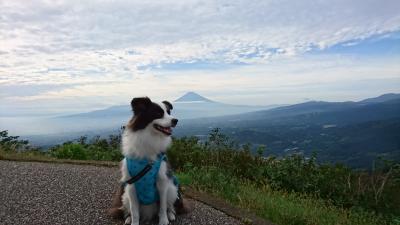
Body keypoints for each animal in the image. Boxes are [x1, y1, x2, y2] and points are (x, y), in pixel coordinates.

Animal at [107, 97, 187, 225]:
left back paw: (171, 215)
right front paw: (134, 222)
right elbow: (134, 211)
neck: (149, 138)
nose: (175, 120)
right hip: (125, 196)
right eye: (158, 113)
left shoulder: (162, 182)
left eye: (168, 112)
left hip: (172, 189)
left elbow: (163, 207)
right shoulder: (131, 185)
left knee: (169, 206)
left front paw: (163, 221)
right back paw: (128, 218)